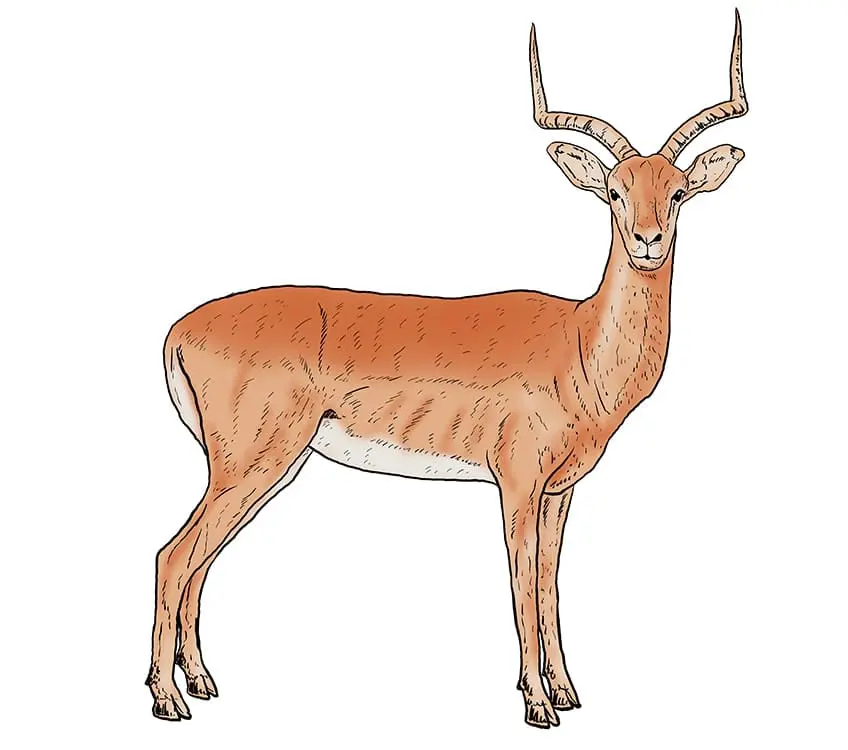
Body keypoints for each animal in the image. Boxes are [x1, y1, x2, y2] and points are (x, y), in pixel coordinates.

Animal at [147, 12, 748, 728]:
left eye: (678, 190)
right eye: (613, 191)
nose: (648, 242)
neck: (579, 346)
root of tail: (178, 330)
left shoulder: (560, 492)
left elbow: (550, 585)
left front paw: (567, 692)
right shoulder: (516, 484)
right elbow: (521, 586)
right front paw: (538, 704)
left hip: (266, 469)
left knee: (198, 561)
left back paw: (201, 683)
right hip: (251, 464)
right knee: (173, 556)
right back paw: (167, 700)